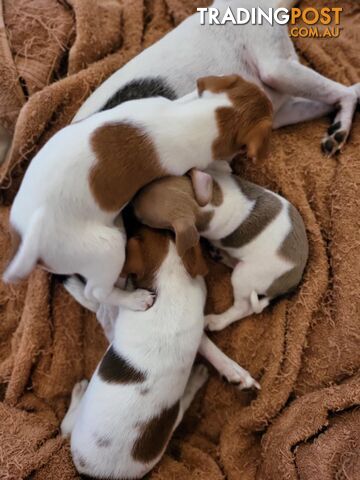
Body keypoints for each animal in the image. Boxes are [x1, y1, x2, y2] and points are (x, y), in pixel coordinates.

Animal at [3, 74, 272, 312]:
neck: (194, 118)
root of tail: (29, 243)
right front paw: (221, 165)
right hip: (107, 249)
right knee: (95, 292)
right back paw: (134, 299)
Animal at [134, 168, 308, 330]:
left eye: (145, 221)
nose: (130, 206)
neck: (208, 205)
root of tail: (290, 284)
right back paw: (220, 255)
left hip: (243, 276)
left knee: (243, 308)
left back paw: (216, 321)